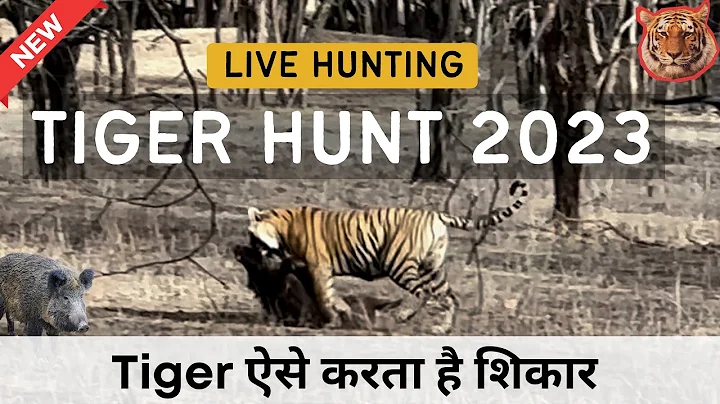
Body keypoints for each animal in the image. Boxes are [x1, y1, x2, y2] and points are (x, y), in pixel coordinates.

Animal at [246, 180, 529, 334]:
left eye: (252, 237)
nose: (250, 249)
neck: (282, 227)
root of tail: (435, 215)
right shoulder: (309, 269)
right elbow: (326, 294)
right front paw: (343, 310)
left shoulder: (318, 267)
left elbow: (323, 295)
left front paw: (333, 319)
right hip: (432, 267)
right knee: (449, 298)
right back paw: (441, 328)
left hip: (399, 263)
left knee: (423, 293)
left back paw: (403, 316)